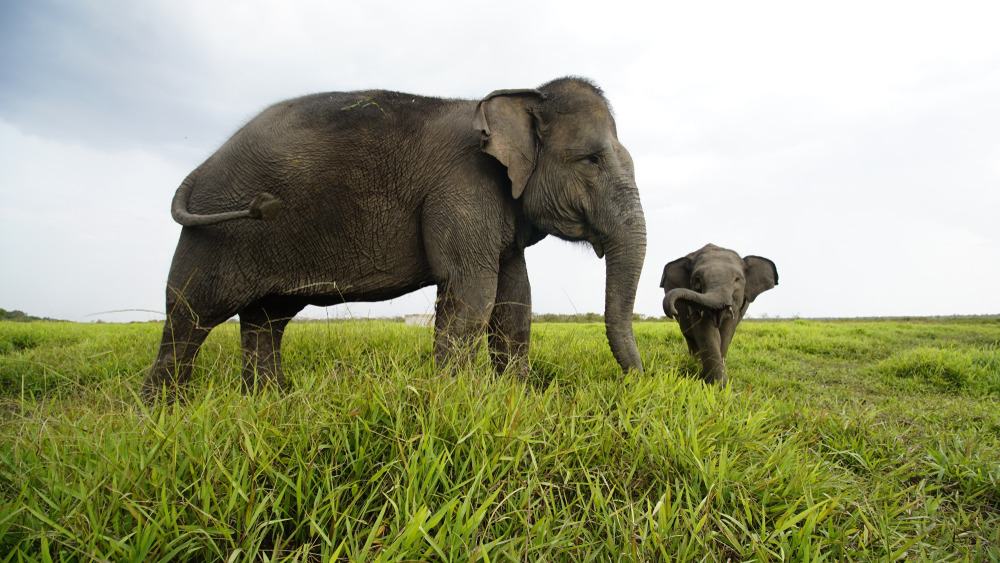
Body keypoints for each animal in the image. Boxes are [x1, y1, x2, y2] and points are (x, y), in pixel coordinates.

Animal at [146, 77, 648, 400]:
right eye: (591, 160)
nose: (640, 383)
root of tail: (200, 167)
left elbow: (514, 304)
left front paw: (517, 400)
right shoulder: (463, 188)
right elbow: (473, 296)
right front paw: (456, 403)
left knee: (266, 319)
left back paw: (269, 402)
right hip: (215, 235)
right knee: (191, 313)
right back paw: (164, 412)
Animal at [660, 245, 776, 386]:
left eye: (737, 279)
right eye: (697, 279)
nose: (672, 312)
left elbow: (727, 330)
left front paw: (719, 383)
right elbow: (704, 328)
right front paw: (715, 384)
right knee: (689, 336)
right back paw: (694, 362)